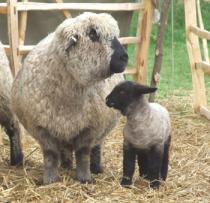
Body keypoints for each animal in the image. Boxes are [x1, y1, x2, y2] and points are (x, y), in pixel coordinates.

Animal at [11, 12, 128, 184]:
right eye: (93, 35)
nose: (125, 57)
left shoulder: (91, 127)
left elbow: (83, 153)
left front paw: (85, 178)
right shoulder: (41, 127)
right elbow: (51, 154)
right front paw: (50, 179)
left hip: (100, 127)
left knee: (97, 147)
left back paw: (96, 168)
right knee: (65, 150)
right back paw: (65, 165)